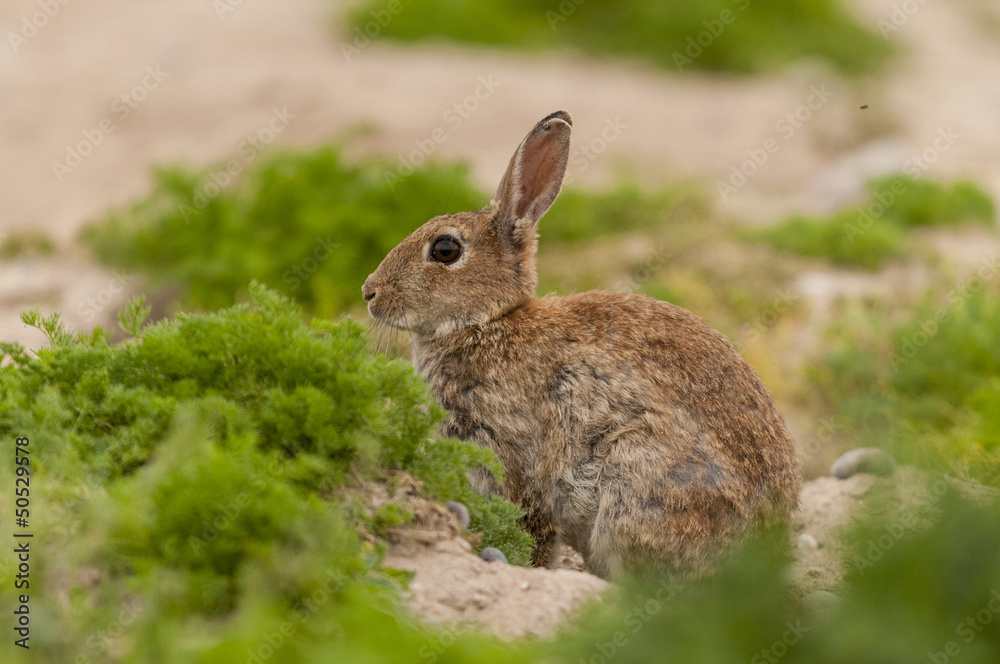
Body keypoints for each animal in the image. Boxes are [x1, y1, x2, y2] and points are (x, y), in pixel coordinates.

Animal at [362, 110, 800, 579]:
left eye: (445, 250)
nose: (369, 292)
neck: (488, 322)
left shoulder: (515, 458)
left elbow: (531, 525)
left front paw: (529, 566)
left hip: (636, 476)